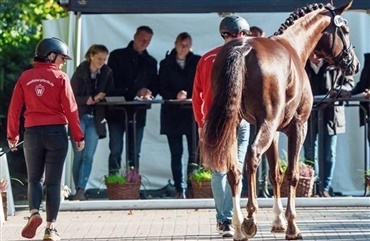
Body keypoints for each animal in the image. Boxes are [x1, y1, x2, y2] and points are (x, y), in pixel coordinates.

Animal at [201, 1, 360, 241]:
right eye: (346, 30)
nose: (354, 64)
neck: (294, 46)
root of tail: (244, 49)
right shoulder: (298, 127)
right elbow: (292, 174)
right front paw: (292, 226)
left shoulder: (273, 131)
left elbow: (275, 173)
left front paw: (278, 222)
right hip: (266, 125)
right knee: (252, 157)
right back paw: (249, 219)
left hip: (233, 126)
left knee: (234, 170)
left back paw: (237, 227)